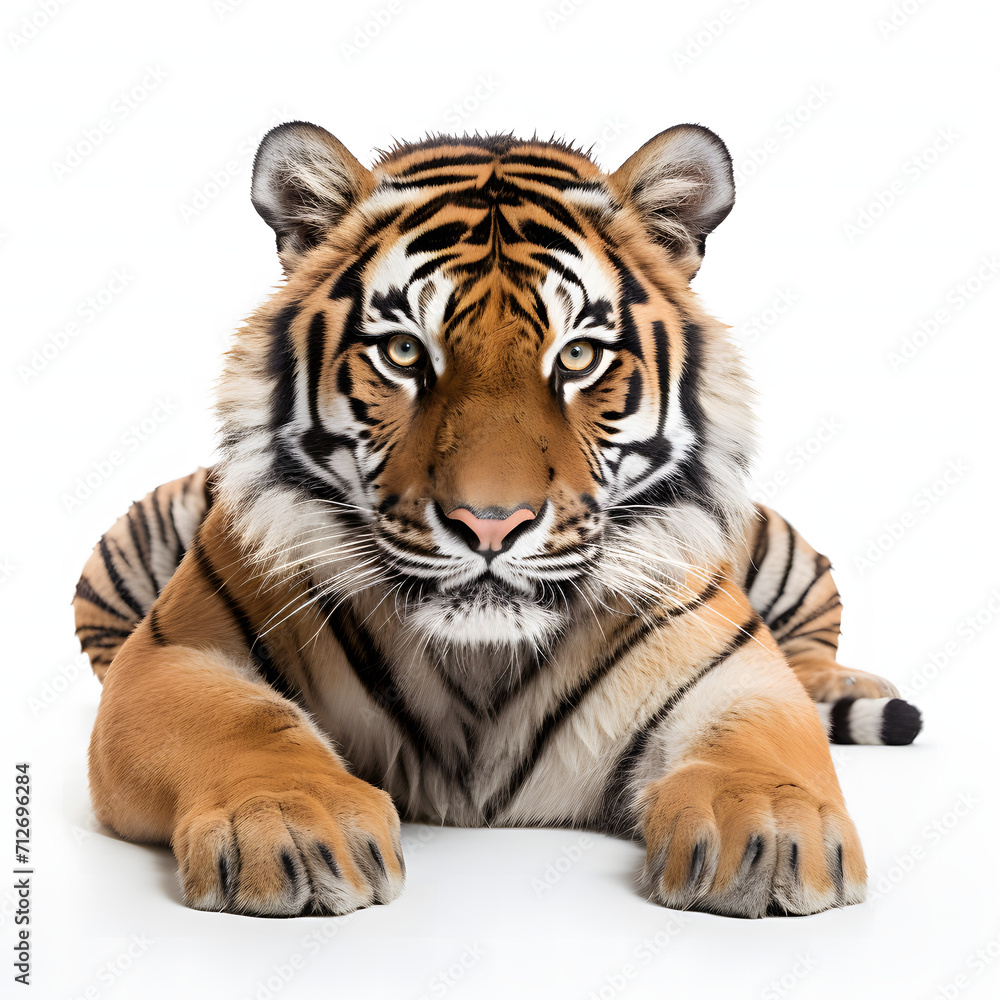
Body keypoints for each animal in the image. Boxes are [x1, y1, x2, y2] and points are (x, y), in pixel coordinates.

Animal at [74, 121, 922, 919]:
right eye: (403, 354)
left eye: (577, 357)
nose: (489, 524)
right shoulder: (173, 654)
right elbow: (243, 721)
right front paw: (287, 821)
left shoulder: (736, 667)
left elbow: (758, 737)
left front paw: (770, 833)